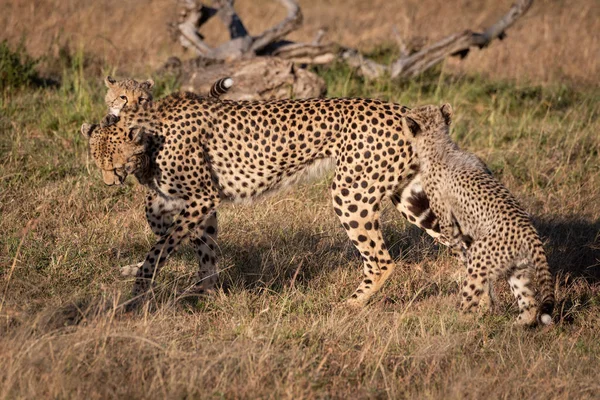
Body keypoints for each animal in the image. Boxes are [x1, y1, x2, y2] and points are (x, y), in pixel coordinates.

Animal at [79, 92, 442, 308]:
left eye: (116, 163)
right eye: (98, 163)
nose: (110, 182)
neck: (151, 140)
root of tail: (400, 109)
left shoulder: (201, 196)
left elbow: (162, 246)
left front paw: (140, 287)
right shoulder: (198, 203)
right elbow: (199, 244)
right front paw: (203, 291)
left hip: (352, 192)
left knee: (381, 260)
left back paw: (349, 303)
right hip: (409, 195)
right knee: (452, 235)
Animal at [408, 103, 552, 324]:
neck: (439, 145)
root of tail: (529, 232)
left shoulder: (446, 218)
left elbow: (452, 240)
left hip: (481, 262)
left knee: (469, 299)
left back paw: (455, 321)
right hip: (518, 269)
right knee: (529, 303)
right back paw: (515, 326)